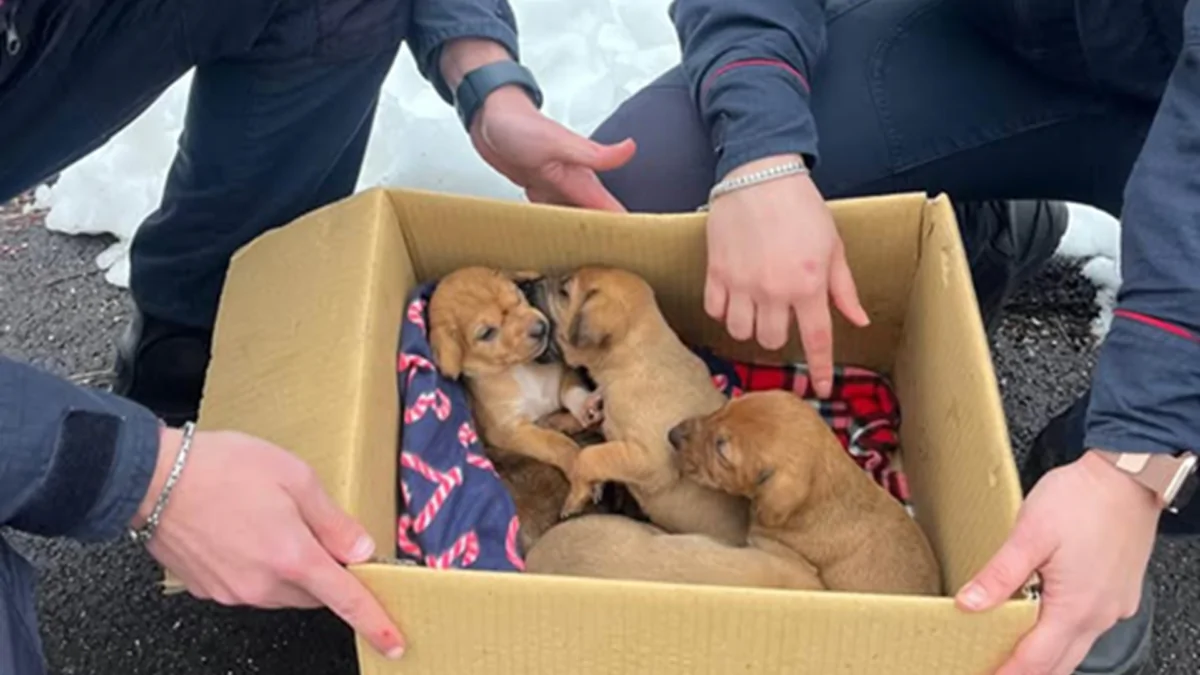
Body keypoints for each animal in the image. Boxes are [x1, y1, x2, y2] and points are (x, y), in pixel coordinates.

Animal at [427, 263, 604, 478]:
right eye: (487, 333)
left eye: (518, 295)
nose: (541, 328)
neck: (521, 369)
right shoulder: (511, 431)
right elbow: (553, 442)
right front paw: (574, 460)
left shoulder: (564, 373)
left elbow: (572, 392)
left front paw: (586, 406)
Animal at [528, 265, 744, 542]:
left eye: (564, 292)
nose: (527, 285)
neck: (632, 359)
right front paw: (554, 421)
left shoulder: (648, 459)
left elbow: (589, 456)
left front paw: (576, 497)